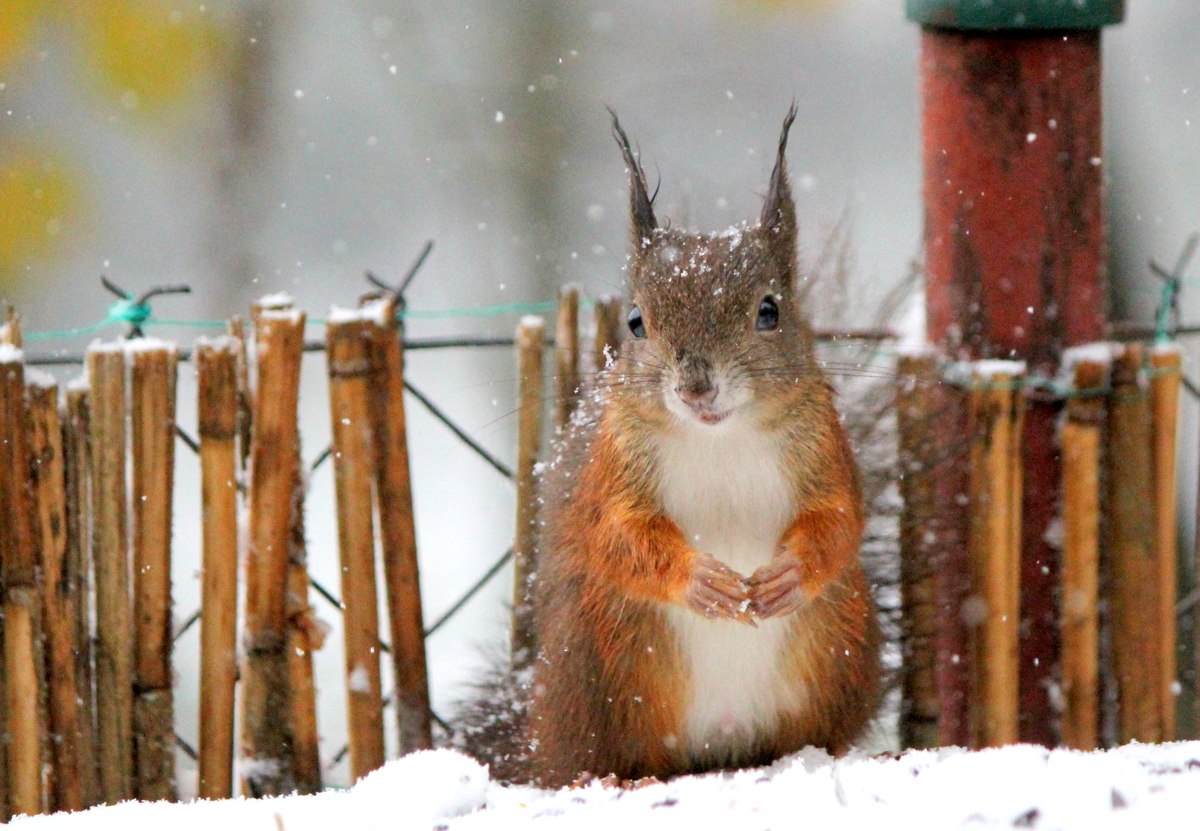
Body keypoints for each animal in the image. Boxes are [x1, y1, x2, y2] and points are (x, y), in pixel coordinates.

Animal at [530, 105, 888, 787]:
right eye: (636, 322)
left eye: (770, 311)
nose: (696, 387)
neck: (719, 437)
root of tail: (722, 750)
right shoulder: (613, 470)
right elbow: (616, 535)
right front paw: (703, 582)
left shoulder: (826, 452)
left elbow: (839, 519)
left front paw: (786, 574)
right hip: (597, 664)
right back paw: (620, 775)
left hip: (840, 646)